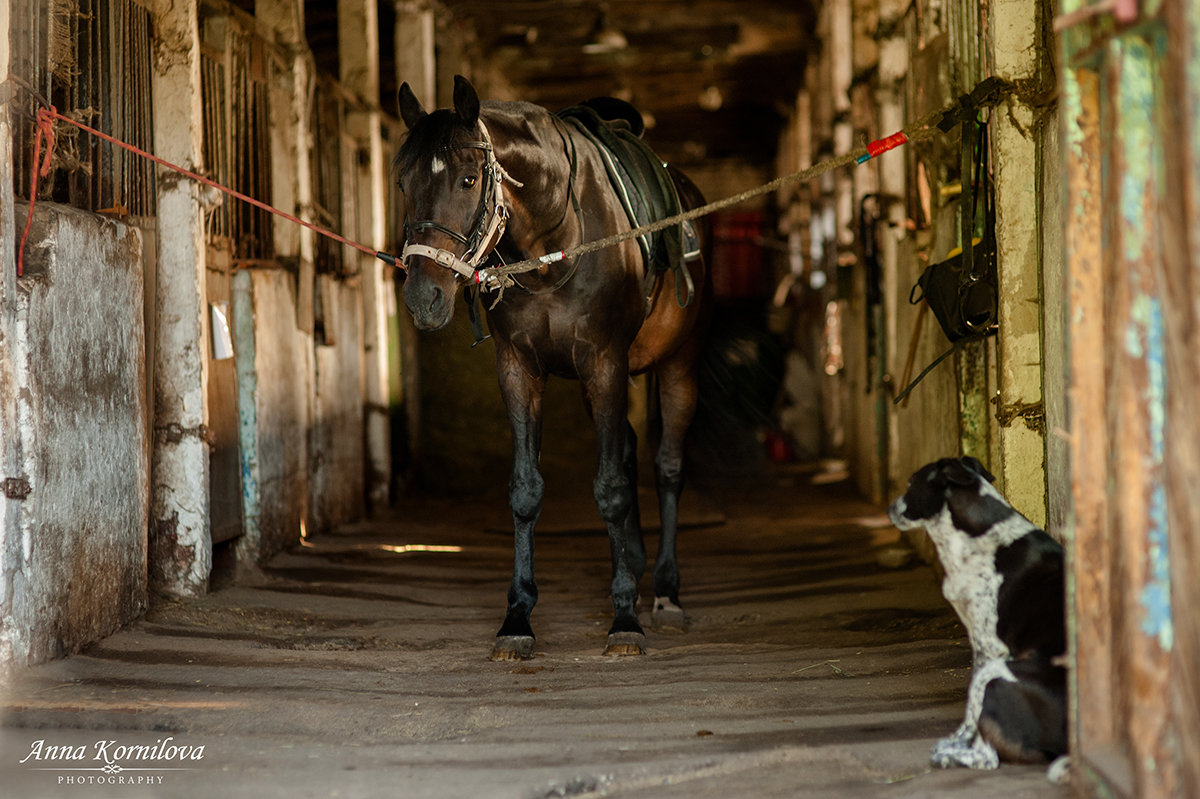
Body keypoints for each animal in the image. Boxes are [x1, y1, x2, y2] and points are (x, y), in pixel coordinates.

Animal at [393, 76, 710, 657]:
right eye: (403, 183)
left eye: (469, 179)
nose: (425, 299)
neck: (552, 247)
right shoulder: (519, 370)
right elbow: (527, 489)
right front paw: (517, 617)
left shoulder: (604, 362)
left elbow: (610, 488)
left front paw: (624, 620)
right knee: (628, 450)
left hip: (679, 362)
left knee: (667, 465)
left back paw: (665, 592)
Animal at [892, 458, 1070, 772]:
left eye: (912, 482)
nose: (891, 508)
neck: (976, 538)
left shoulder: (988, 646)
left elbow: (971, 711)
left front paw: (959, 739)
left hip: (995, 674)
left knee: (989, 758)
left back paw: (949, 754)